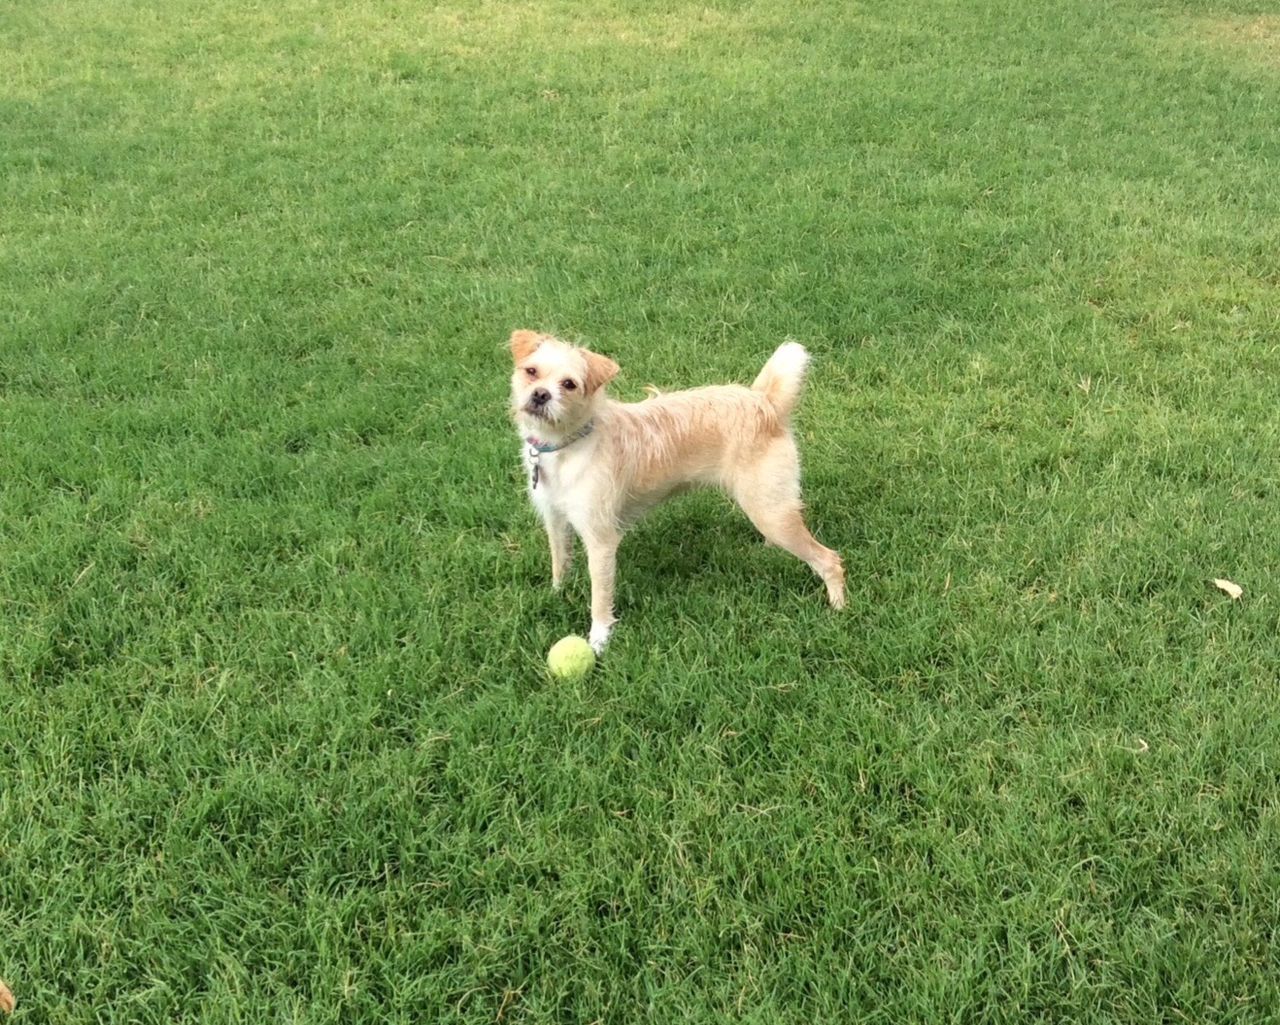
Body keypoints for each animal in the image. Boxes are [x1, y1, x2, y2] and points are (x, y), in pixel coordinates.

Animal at [509, 330, 849, 647]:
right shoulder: (555, 520)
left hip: (771, 513)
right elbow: (560, 562)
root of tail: (764, 403)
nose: (540, 395)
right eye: (531, 372)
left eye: (569, 384)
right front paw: (556, 593)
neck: (569, 443)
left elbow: (600, 595)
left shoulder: (601, 540)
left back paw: (839, 607)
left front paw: (599, 641)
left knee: (829, 559)